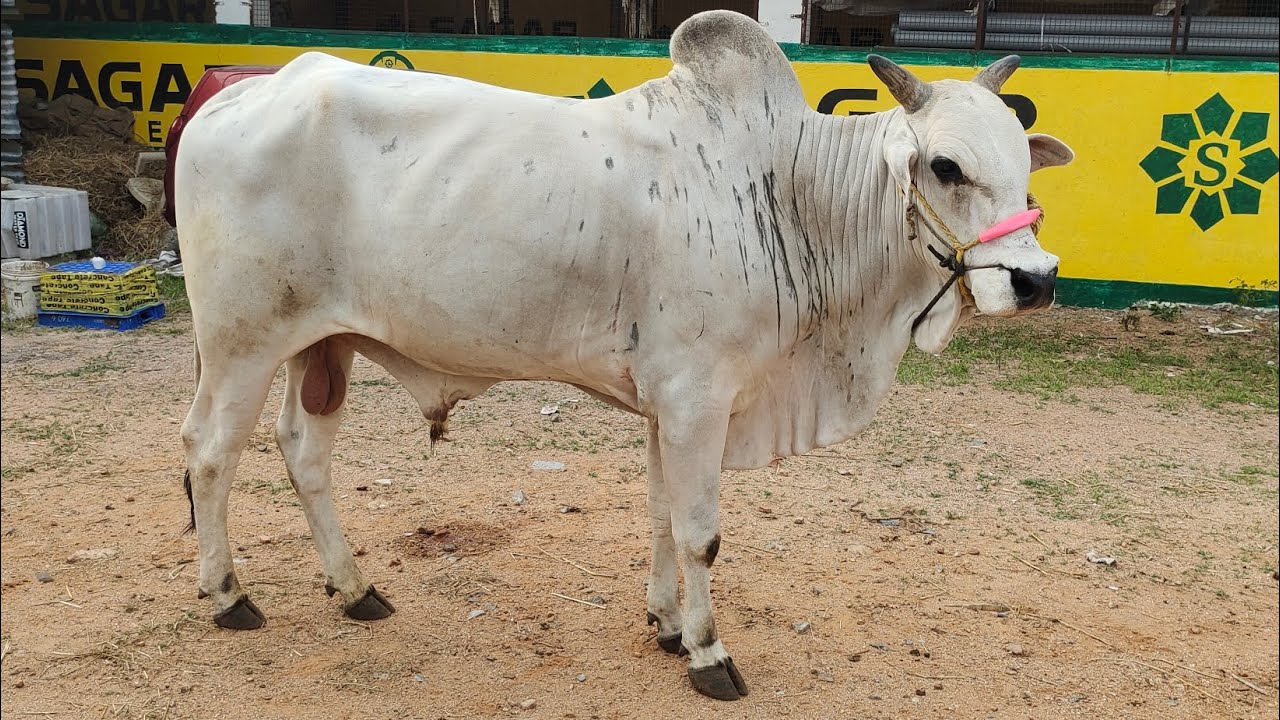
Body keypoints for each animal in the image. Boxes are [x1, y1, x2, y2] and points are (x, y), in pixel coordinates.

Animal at [176, 10, 1072, 701]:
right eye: (947, 166)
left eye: (1023, 164)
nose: (1035, 279)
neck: (788, 194)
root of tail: (239, 91)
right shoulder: (698, 401)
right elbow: (700, 531)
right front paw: (709, 653)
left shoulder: (665, 407)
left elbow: (661, 515)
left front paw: (668, 624)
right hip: (241, 344)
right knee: (209, 452)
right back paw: (226, 595)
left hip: (322, 348)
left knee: (303, 452)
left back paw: (354, 588)